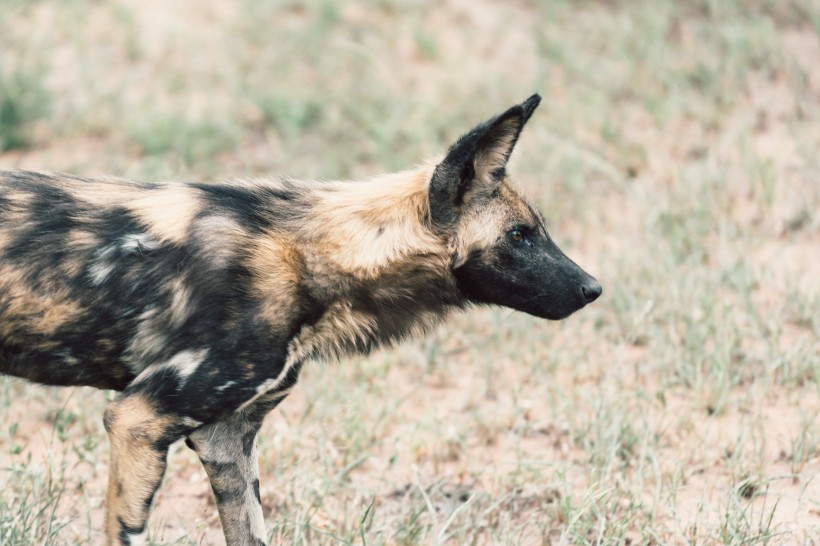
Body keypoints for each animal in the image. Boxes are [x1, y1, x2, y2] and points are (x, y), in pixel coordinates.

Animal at [0, 95, 604, 540]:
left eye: (537, 230)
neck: (313, 254)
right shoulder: (138, 420)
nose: (592, 288)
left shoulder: (225, 441)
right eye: (519, 236)